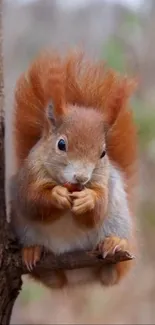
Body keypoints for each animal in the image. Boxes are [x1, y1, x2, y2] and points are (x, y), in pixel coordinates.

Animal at [10, 51, 137, 288]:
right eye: (61, 144)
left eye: (103, 153)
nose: (81, 177)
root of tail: (77, 276)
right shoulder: (28, 175)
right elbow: (31, 201)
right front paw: (56, 195)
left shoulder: (103, 182)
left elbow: (97, 211)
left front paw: (88, 200)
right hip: (28, 234)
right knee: (50, 275)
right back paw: (33, 251)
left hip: (118, 221)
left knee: (112, 272)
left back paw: (113, 244)